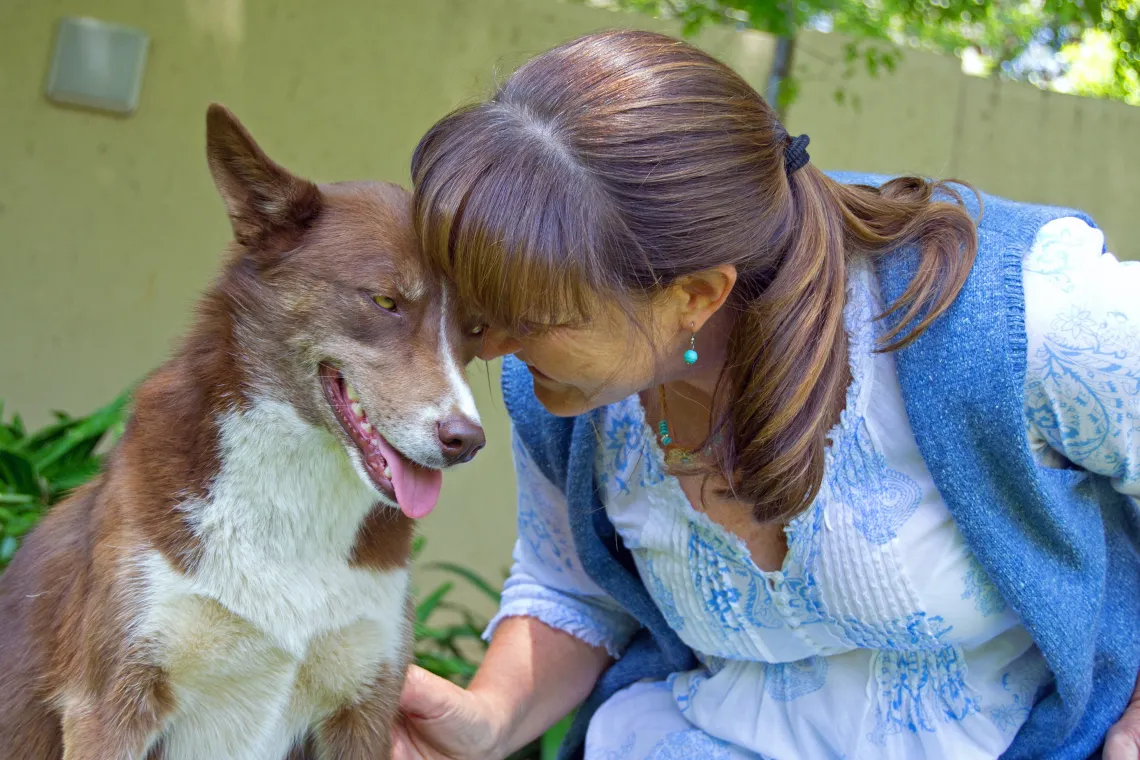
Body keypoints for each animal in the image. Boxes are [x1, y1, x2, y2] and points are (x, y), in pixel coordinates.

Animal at [0, 105, 485, 760]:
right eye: (385, 301)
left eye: (476, 329)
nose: (467, 440)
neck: (297, 489)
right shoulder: (110, 706)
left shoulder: (365, 709)